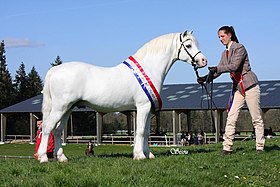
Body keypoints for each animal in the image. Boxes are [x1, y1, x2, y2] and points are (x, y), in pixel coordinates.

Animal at [37, 30, 206, 162]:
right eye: (189, 45)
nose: (203, 60)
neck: (149, 68)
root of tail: (55, 70)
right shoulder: (143, 106)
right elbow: (140, 131)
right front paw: (139, 155)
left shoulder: (147, 108)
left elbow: (146, 132)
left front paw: (148, 154)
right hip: (60, 108)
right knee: (47, 127)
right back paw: (43, 157)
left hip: (67, 109)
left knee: (57, 131)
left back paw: (62, 158)